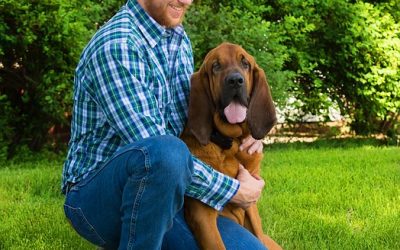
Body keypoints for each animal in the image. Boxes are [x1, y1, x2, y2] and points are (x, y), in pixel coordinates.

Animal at [181, 43, 282, 250]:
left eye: (245, 63)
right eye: (216, 66)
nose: (235, 81)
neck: (231, 144)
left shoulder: (251, 204)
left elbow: (257, 232)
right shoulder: (202, 214)